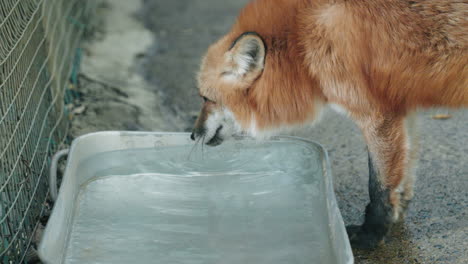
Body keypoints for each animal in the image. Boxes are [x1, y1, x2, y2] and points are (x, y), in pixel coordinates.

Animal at [189, 0, 464, 249]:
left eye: (206, 98)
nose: (192, 135)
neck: (300, 38)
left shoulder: (377, 116)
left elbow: (378, 187)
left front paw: (370, 236)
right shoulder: (401, 107)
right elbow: (404, 173)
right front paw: (396, 216)